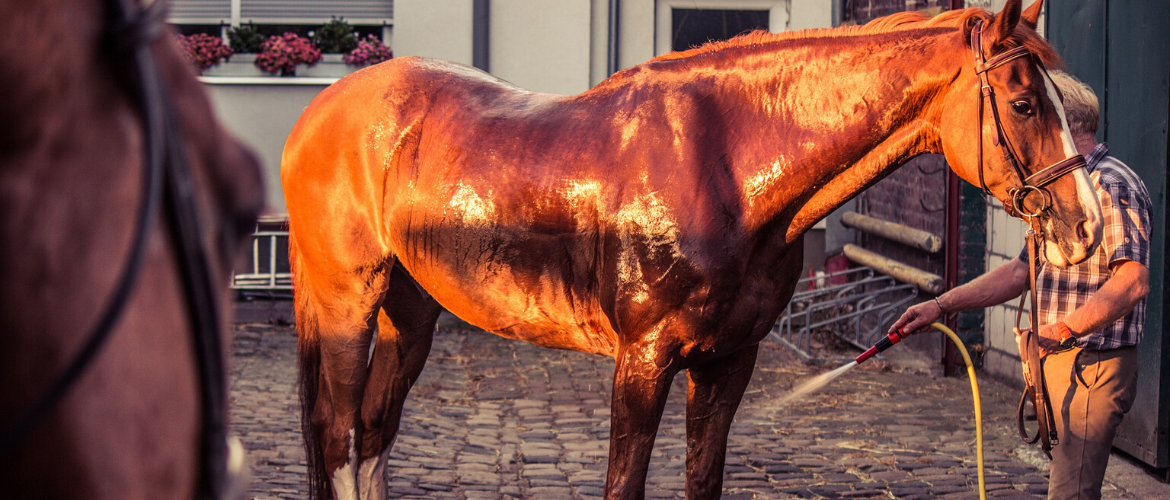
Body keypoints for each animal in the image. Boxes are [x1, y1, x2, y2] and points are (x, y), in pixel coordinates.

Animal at [280, 1, 1095, 498]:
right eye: (1025, 103)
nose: (1085, 225)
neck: (722, 165)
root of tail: (322, 109)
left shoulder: (729, 361)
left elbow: (703, 478)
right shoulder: (643, 363)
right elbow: (624, 483)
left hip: (410, 312)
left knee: (373, 431)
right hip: (348, 305)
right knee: (337, 433)